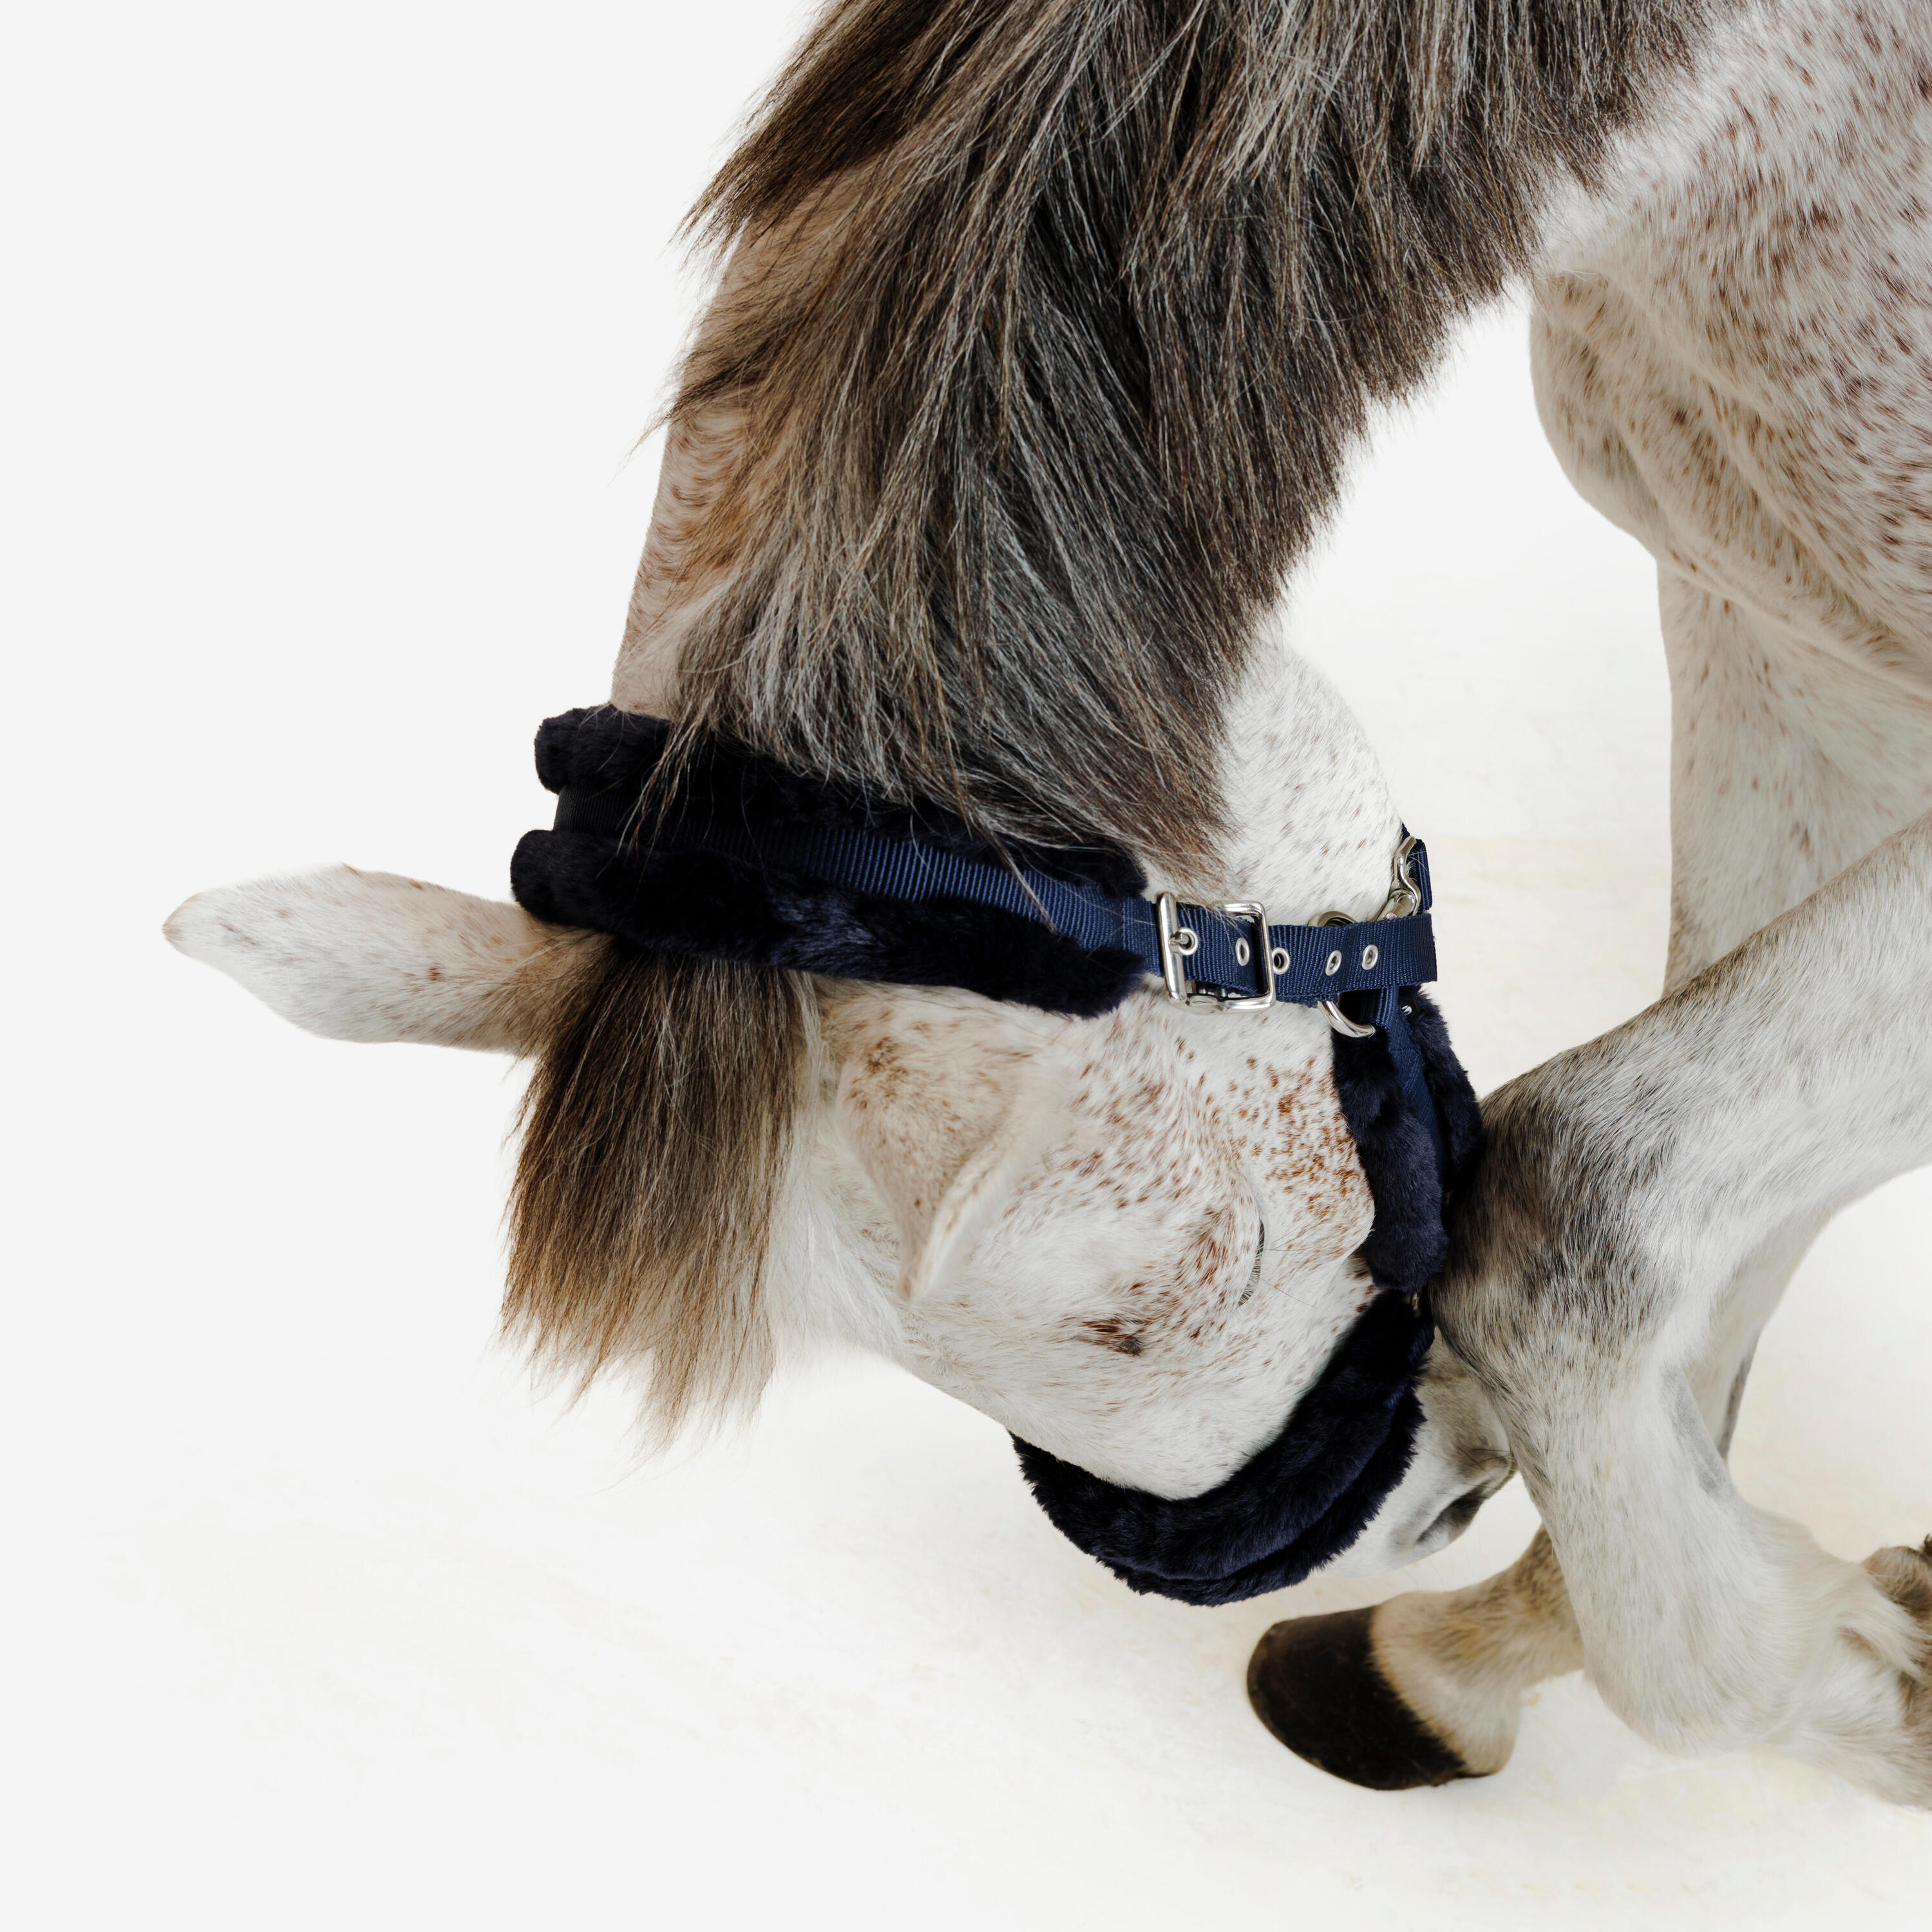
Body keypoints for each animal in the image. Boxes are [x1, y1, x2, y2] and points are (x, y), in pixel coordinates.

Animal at [164, 0, 1932, 1801]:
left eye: (1178, 1286)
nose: (1427, 1506)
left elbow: (1586, 1187)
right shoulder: (1772, 639)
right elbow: (1719, 1253)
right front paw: (1547, 1653)